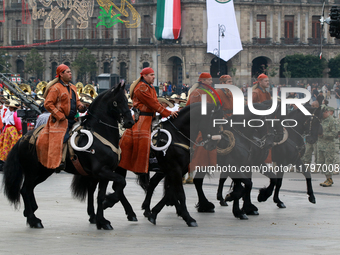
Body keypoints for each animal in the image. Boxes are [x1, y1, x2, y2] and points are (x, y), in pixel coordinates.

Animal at [1, 82, 133, 230]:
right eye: (117, 102)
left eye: (126, 100)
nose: (130, 122)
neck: (100, 134)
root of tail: (23, 138)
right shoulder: (102, 171)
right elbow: (121, 182)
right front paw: (108, 203)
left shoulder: (105, 172)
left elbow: (101, 195)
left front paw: (102, 220)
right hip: (32, 171)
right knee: (25, 190)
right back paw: (33, 220)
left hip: (44, 171)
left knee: (30, 189)